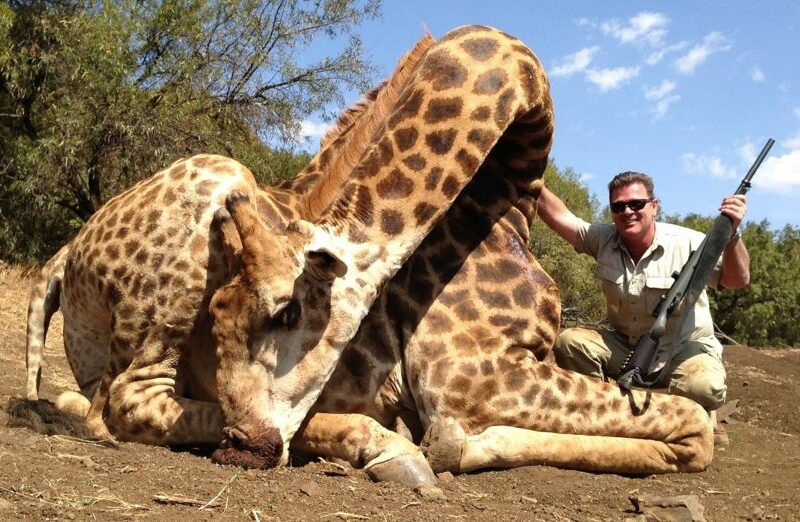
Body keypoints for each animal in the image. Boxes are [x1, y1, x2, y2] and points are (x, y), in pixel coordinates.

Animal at [207, 24, 713, 482]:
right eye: (217, 315)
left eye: (286, 313)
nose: (240, 447)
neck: (505, 209)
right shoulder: (471, 380)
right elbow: (696, 424)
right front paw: (441, 444)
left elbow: (693, 425)